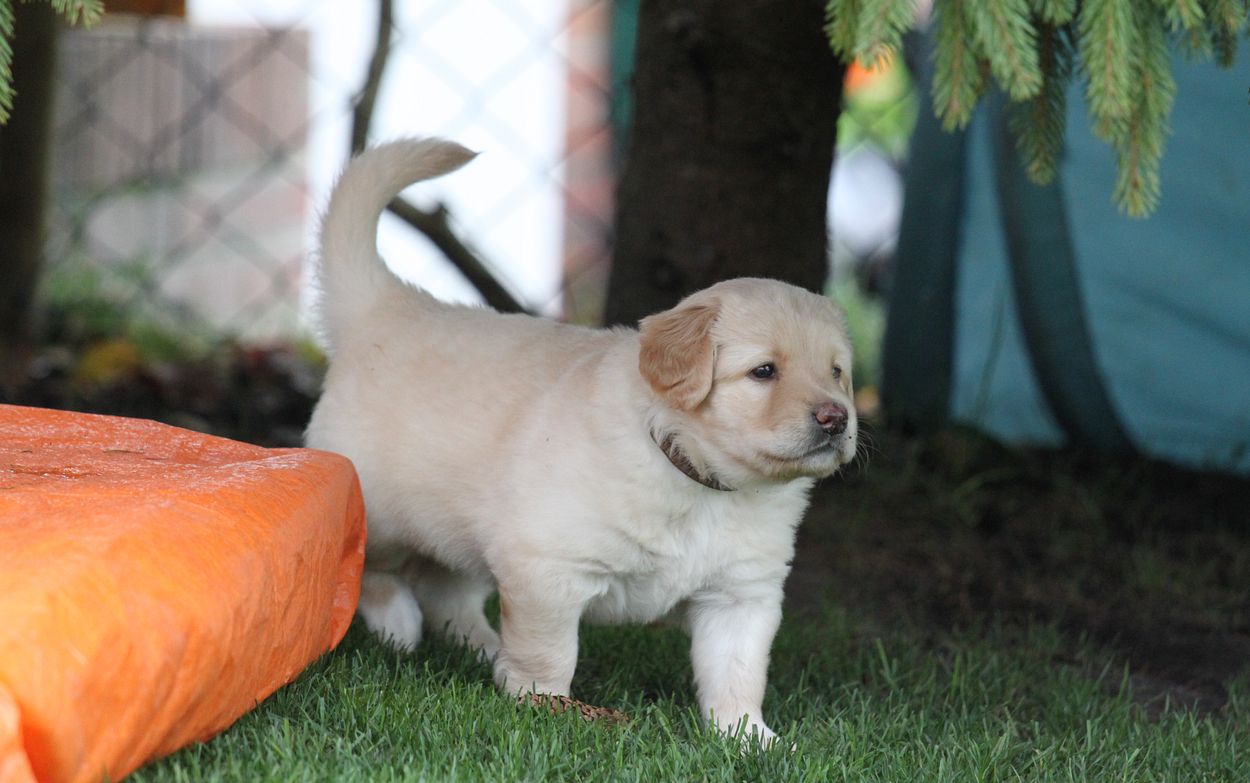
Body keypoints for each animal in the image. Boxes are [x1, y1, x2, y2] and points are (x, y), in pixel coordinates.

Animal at [305, 138, 858, 744]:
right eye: (763, 371)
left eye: (837, 373)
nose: (837, 418)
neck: (698, 477)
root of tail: (388, 303)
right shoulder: (547, 568)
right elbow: (550, 653)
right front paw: (542, 704)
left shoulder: (743, 593)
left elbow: (738, 674)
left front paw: (751, 740)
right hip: (382, 507)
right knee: (372, 564)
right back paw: (399, 625)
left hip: (461, 526)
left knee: (444, 585)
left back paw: (480, 646)